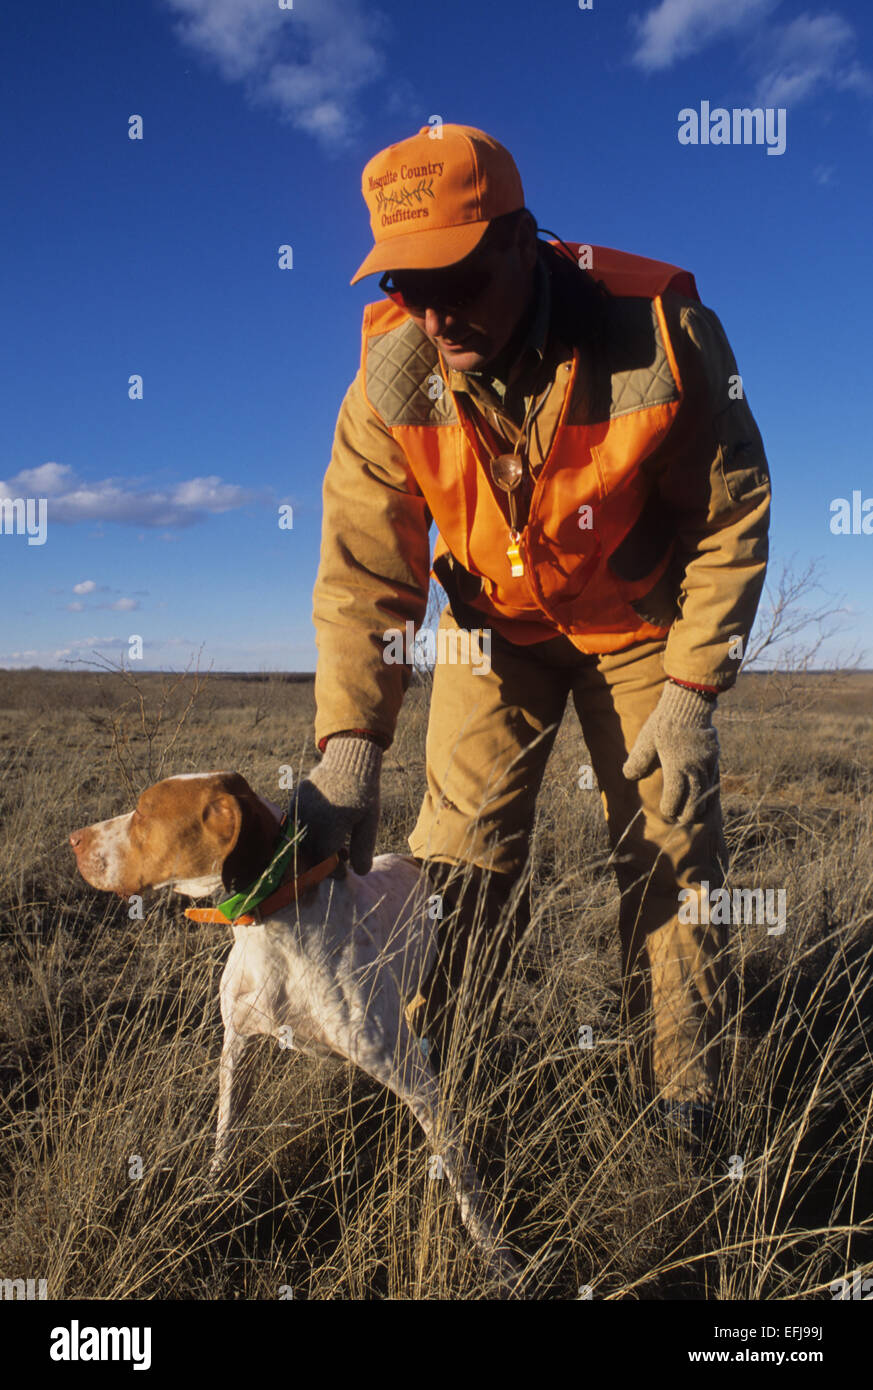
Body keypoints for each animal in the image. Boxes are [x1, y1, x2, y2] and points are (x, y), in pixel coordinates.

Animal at [69, 772, 517, 1278]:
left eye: (144, 811)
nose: (74, 840)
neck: (274, 928)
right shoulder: (238, 1043)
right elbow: (226, 1133)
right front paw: (211, 1191)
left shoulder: (413, 1079)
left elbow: (461, 1171)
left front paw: (496, 1253)